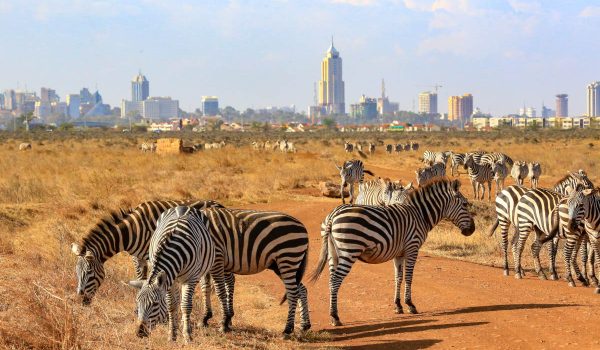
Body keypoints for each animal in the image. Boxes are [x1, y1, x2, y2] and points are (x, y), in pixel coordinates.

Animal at [68, 200, 223, 306]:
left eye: (89, 272)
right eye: (77, 272)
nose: (81, 300)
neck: (131, 231)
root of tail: (218, 204)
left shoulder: (151, 256)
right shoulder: (138, 257)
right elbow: (140, 278)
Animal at [126, 205, 216, 342]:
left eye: (155, 304)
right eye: (138, 302)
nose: (139, 333)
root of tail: (183, 207)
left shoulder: (190, 278)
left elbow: (186, 305)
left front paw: (187, 335)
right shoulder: (169, 280)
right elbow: (171, 305)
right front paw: (172, 334)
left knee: (189, 299)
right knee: (178, 300)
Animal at [199, 208, 312, 336]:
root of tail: (302, 226)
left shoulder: (217, 258)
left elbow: (219, 290)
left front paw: (223, 323)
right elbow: (205, 288)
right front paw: (205, 318)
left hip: (288, 257)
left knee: (293, 292)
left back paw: (287, 330)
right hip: (282, 264)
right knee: (301, 289)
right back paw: (304, 325)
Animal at [310, 180, 474, 326]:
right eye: (465, 204)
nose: (472, 230)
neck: (420, 215)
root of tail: (333, 215)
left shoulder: (399, 253)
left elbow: (398, 277)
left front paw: (398, 306)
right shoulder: (412, 248)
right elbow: (408, 277)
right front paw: (410, 305)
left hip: (333, 253)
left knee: (331, 280)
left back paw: (333, 314)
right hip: (349, 251)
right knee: (336, 280)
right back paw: (335, 317)